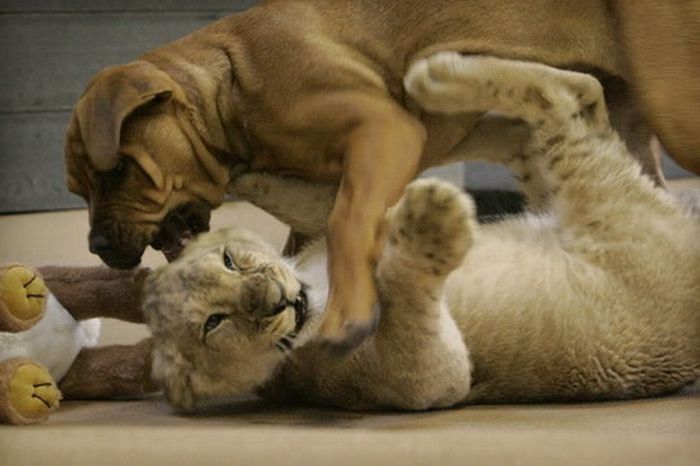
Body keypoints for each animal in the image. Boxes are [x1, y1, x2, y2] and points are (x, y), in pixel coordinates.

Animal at [63, 0, 696, 346]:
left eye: (118, 170)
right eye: (77, 188)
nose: (96, 246)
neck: (228, 88)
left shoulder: (384, 131)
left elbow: (348, 222)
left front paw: (344, 313)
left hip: (677, 109)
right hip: (636, 121)